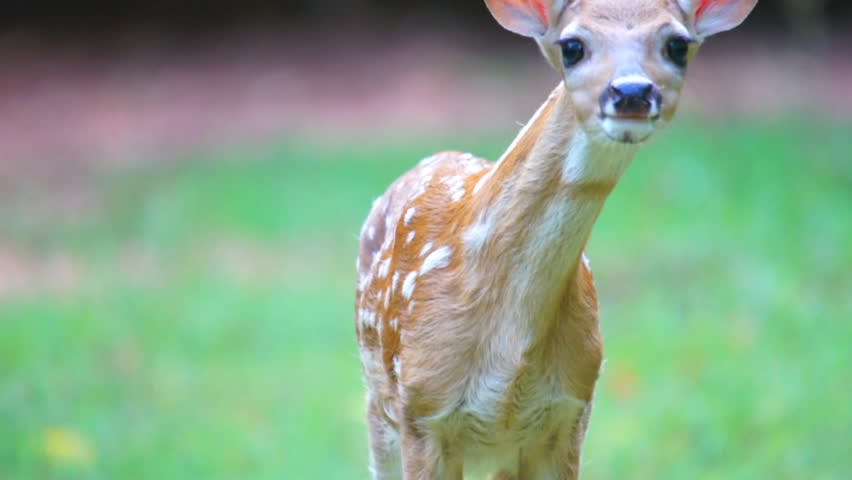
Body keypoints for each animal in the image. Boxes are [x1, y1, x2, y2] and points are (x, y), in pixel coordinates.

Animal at [354, 0, 757, 478]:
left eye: (677, 44)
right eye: (572, 46)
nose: (632, 92)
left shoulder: (570, 410)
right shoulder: (422, 409)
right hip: (380, 403)